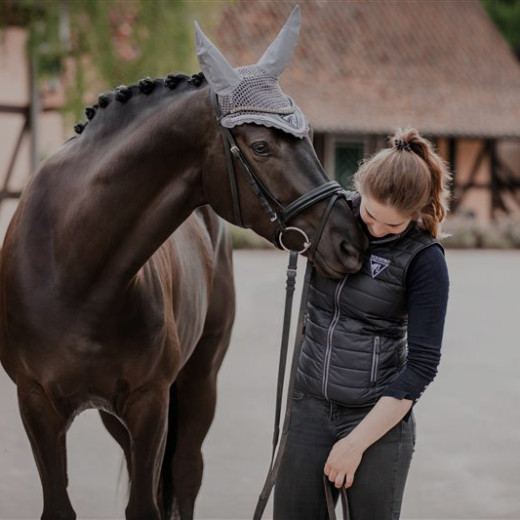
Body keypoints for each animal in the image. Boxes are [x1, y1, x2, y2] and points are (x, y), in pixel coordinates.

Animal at [1, 7, 366, 520]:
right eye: (260, 147)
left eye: (311, 135)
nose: (350, 242)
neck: (73, 270)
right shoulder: (36, 402)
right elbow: (62, 505)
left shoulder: (149, 403)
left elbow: (148, 503)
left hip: (199, 380)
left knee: (188, 471)